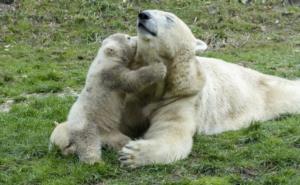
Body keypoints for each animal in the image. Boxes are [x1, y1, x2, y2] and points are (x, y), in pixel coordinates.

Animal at [118, 9, 298, 167]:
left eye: (169, 18)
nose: (143, 15)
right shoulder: (133, 94)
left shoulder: (182, 97)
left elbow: (173, 133)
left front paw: (131, 154)